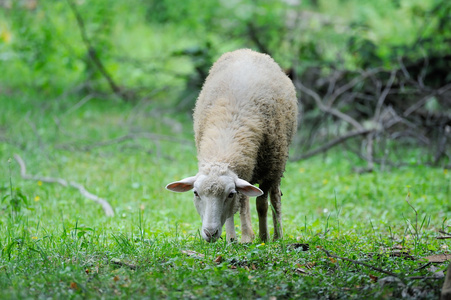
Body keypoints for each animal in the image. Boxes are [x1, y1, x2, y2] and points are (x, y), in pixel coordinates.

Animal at [165, 48, 296, 243]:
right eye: (196, 193)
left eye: (230, 194)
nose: (210, 233)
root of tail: (247, 50)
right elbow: (236, 209)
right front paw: (232, 239)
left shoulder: (268, 171)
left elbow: (262, 204)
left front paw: (262, 238)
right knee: (245, 200)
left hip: (277, 163)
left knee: (274, 198)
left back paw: (276, 236)